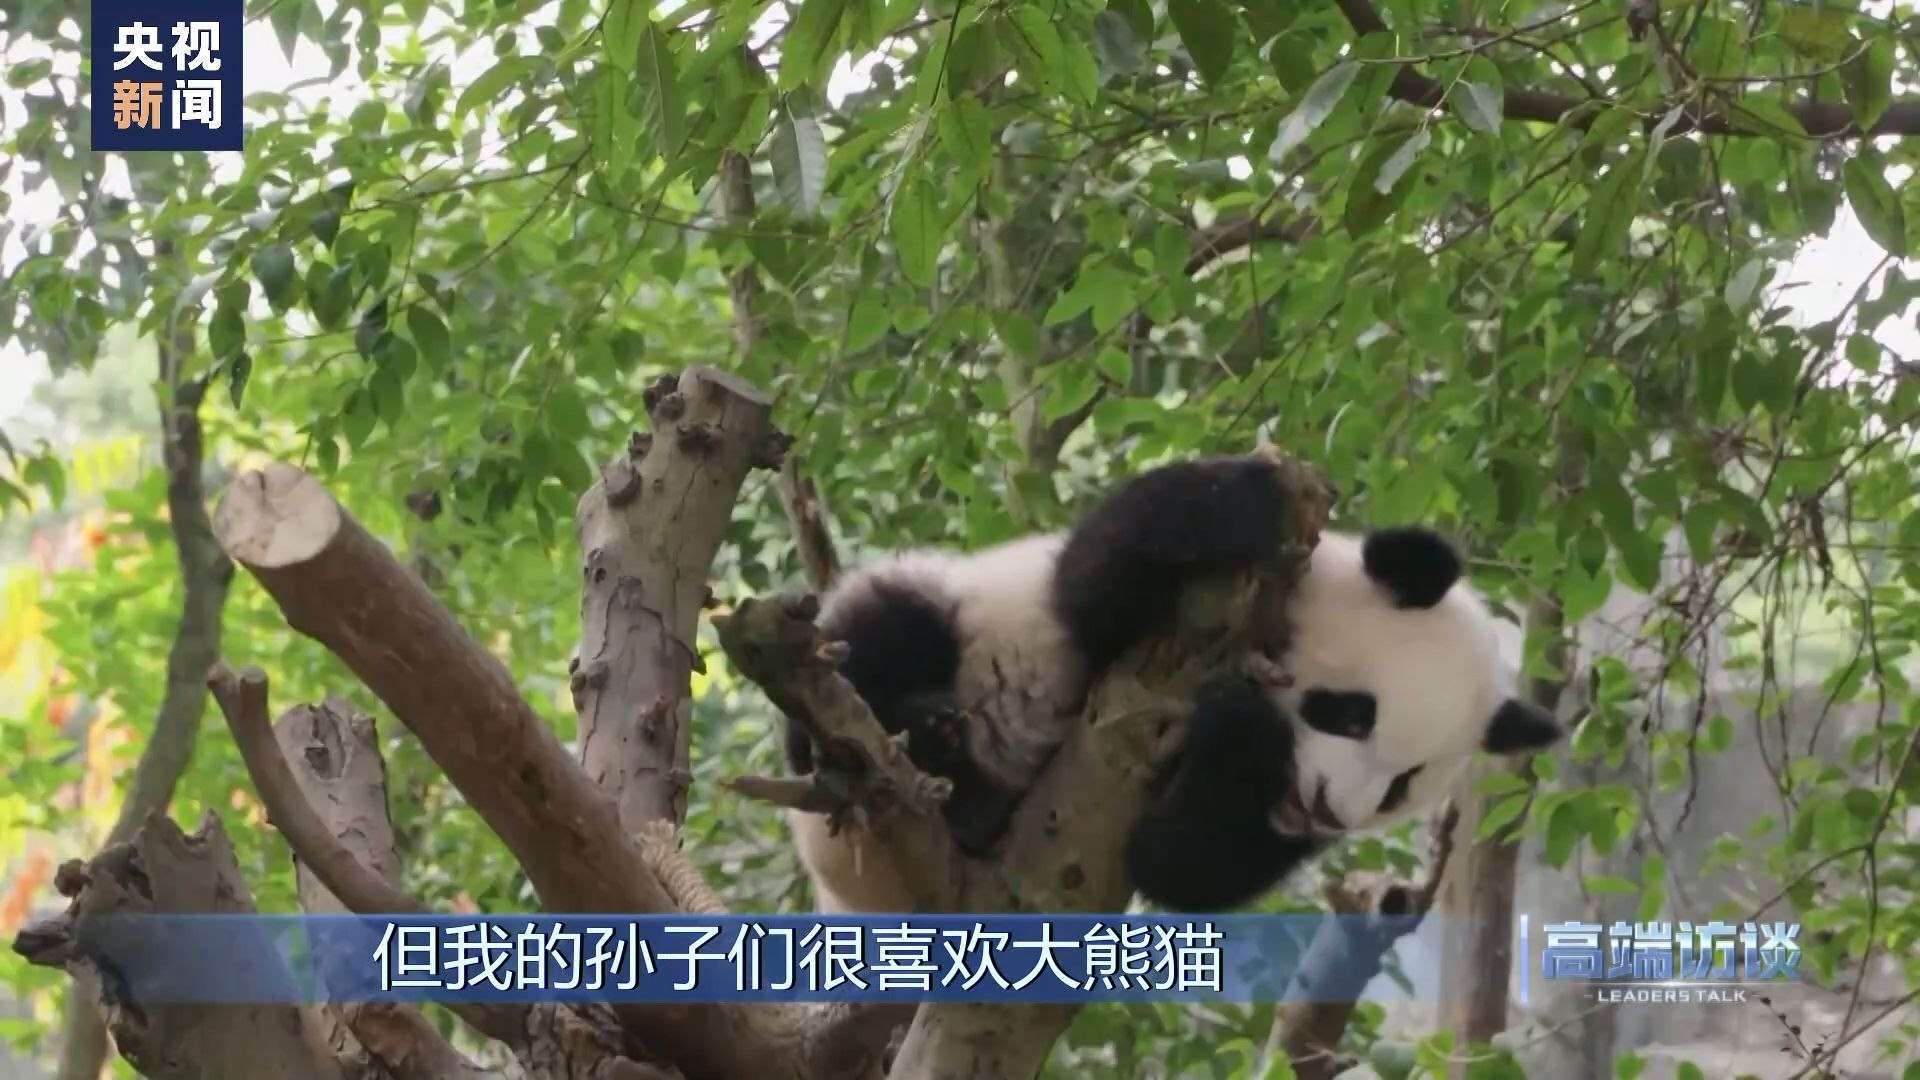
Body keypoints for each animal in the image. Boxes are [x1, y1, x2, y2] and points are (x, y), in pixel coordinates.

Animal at [782, 454, 1563, 913]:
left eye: (1403, 786)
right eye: (1350, 715)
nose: (1328, 812)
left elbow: (1180, 866)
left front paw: (1240, 734)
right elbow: (1100, 581)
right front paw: (1253, 496)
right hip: (942, 620)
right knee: (881, 630)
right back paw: (912, 732)